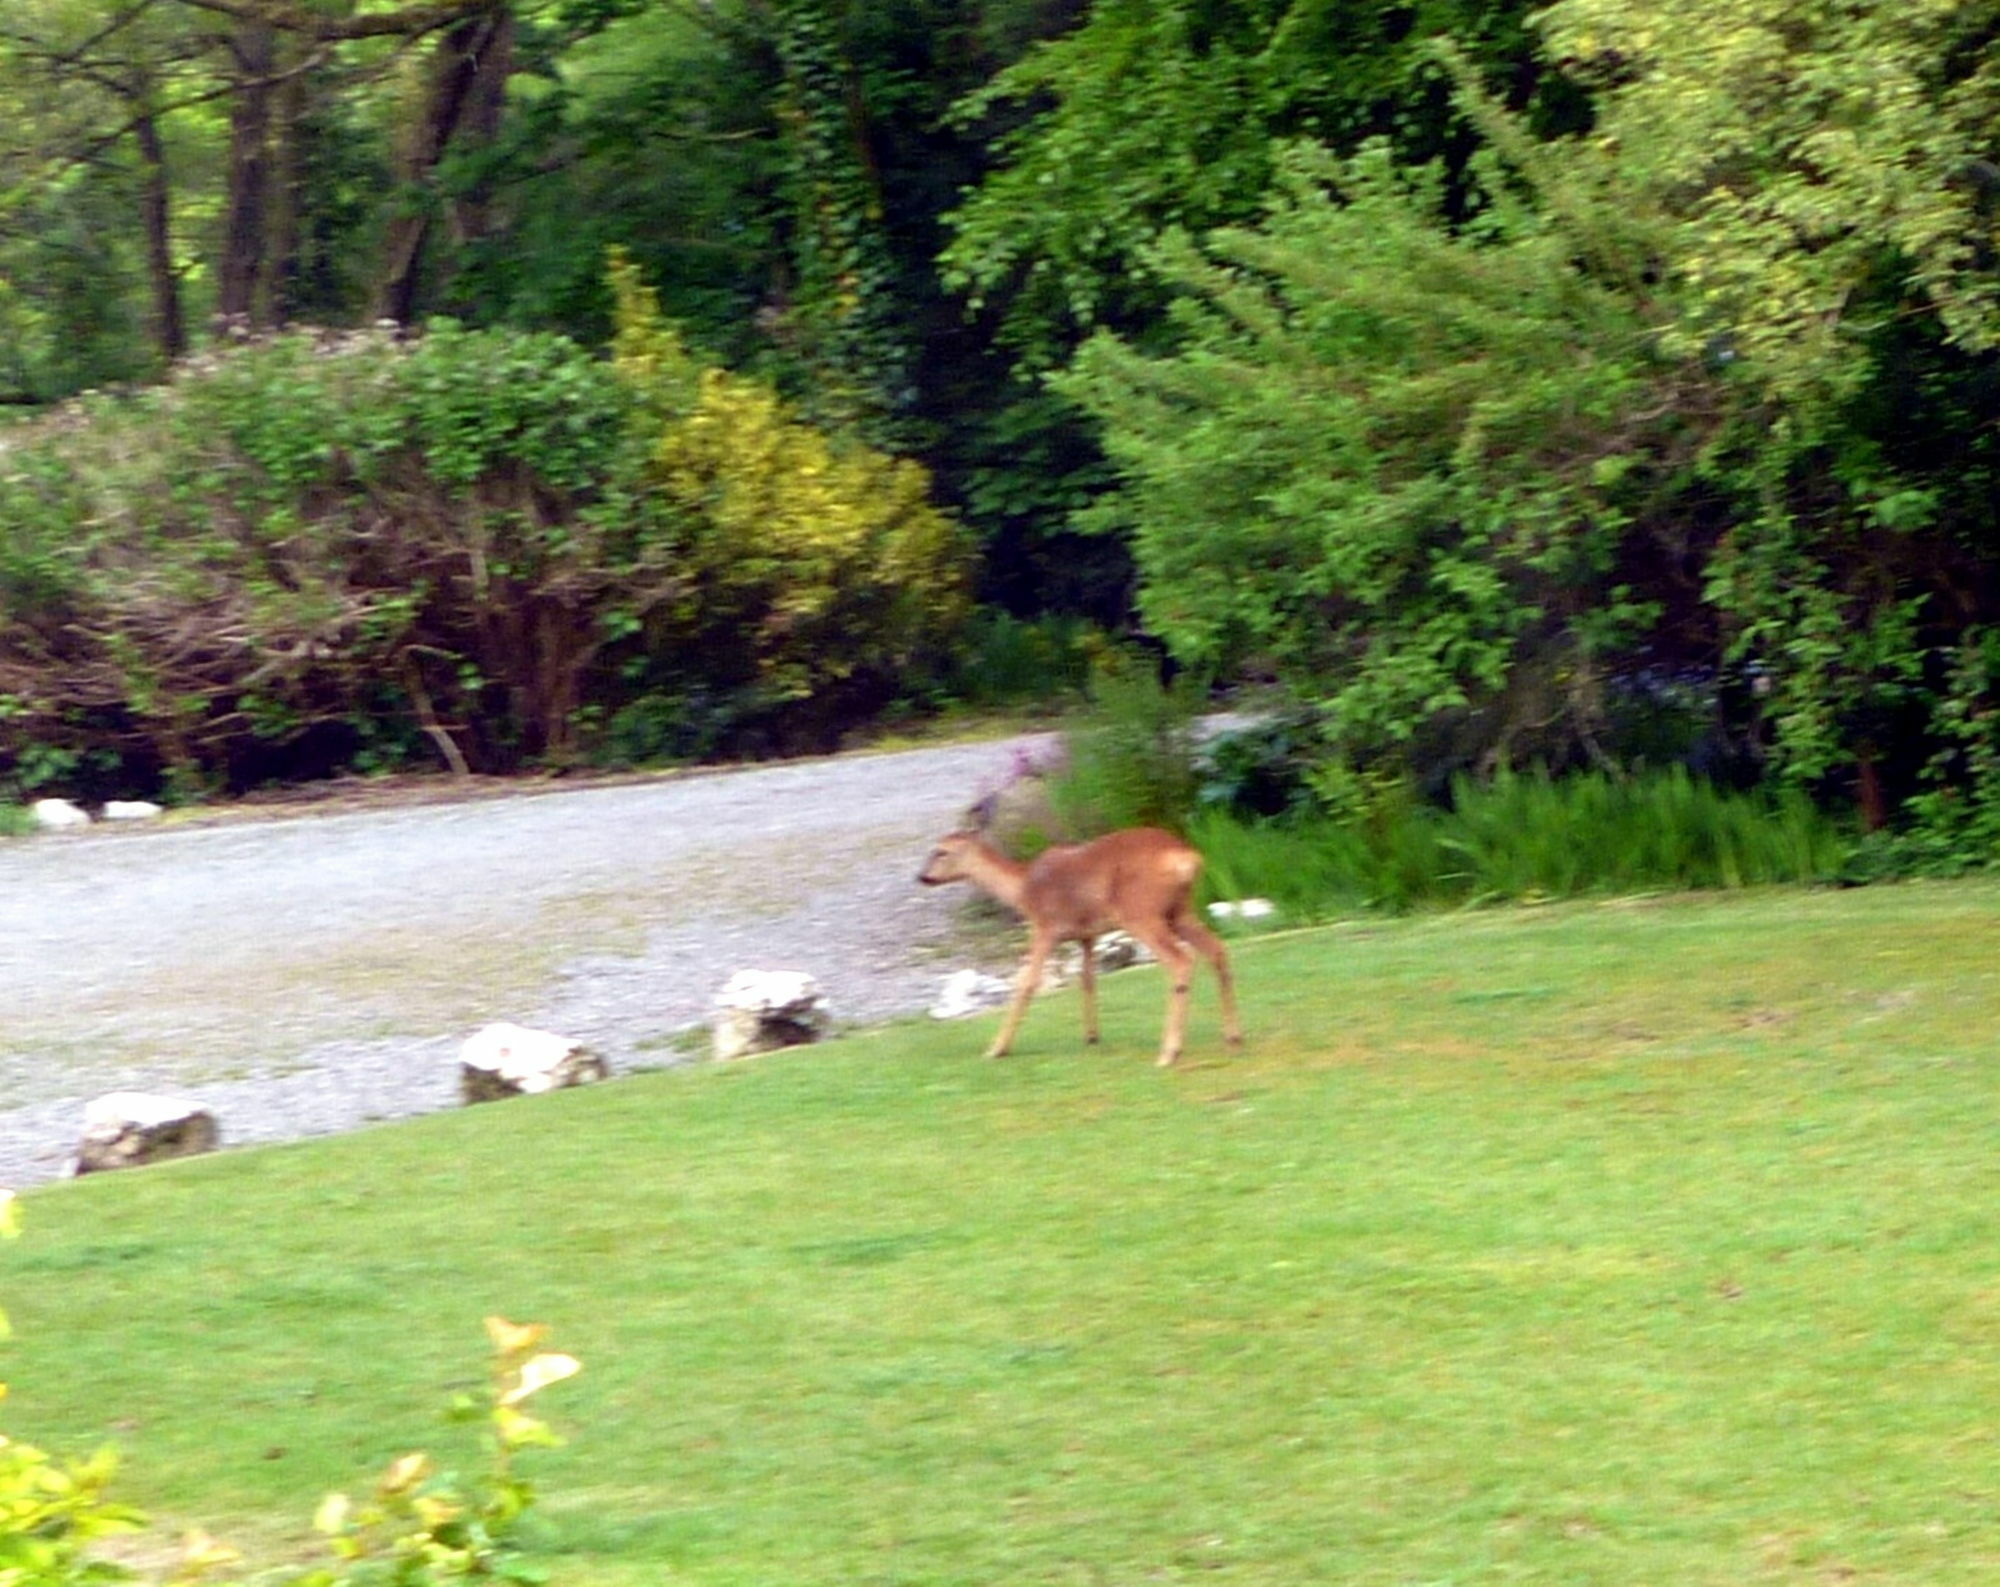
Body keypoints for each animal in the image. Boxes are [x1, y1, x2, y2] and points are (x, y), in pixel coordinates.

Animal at [916, 815, 1232, 1063]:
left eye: (941, 851)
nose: (921, 876)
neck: (1022, 890)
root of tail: (1185, 858)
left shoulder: (1043, 927)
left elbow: (1026, 983)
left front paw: (996, 1049)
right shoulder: (1086, 934)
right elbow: (1087, 979)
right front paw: (1092, 1036)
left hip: (1141, 912)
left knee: (1181, 959)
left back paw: (1169, 1052)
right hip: (1180, 910)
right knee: (1217, 949)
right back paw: (1233, 1038)